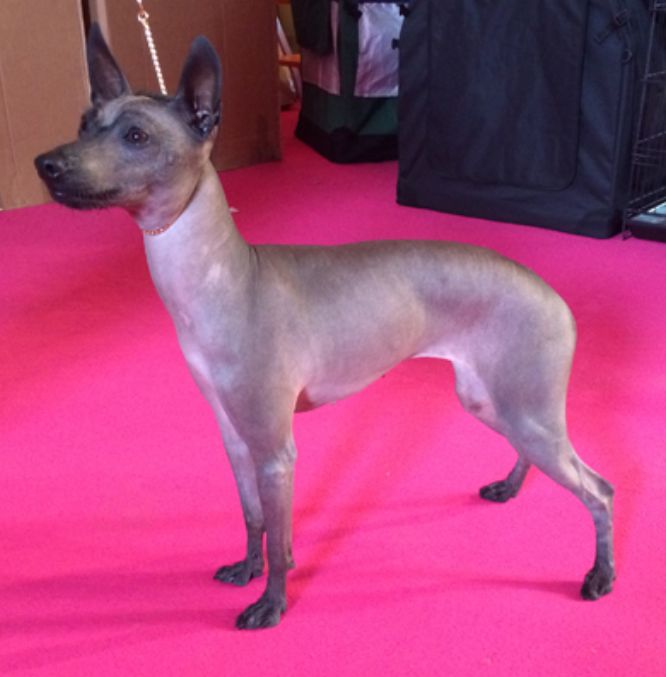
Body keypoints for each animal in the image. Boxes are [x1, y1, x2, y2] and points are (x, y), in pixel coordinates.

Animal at [35, 25, 615, 629]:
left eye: (136, 136)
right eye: (84, 124)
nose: (45, 164)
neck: (226, 279)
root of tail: (554, 295)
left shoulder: (276, 451)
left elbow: (280, 538)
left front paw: (271, 604)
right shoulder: (235, 439)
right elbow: (253, 519)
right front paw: (248, 570)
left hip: (527, 411)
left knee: (600, 491)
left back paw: (600, 576)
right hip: (495, 402)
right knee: (539, 456)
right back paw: (510, 486)